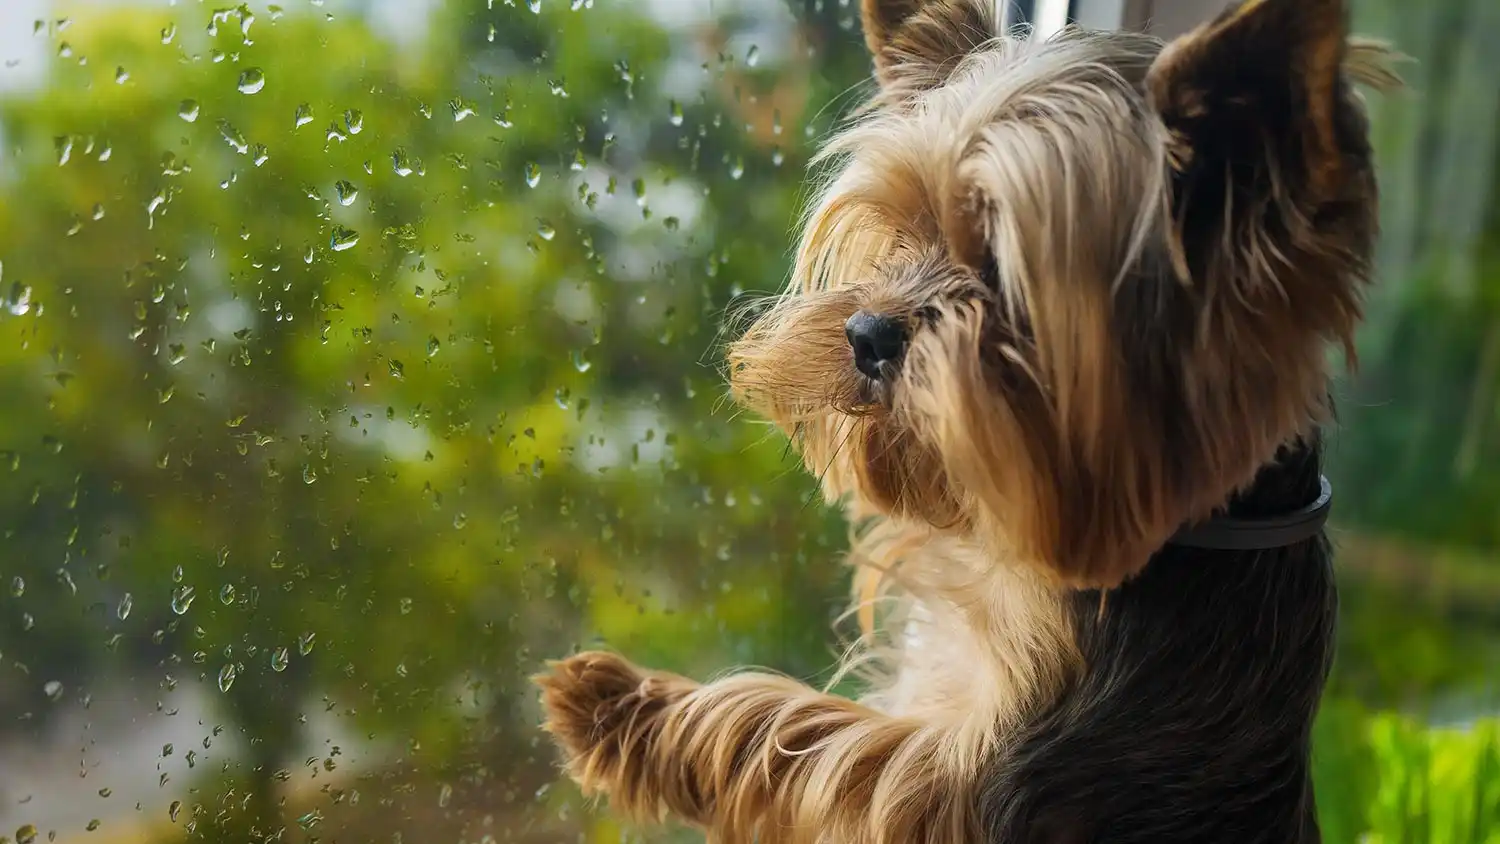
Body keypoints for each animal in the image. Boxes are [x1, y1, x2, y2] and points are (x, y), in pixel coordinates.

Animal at [534, 3, 1398, 839]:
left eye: (1007, 270)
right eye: (906, 228)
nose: (866, 334)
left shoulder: (984, 783)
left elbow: (809, 734)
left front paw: (613, 705)